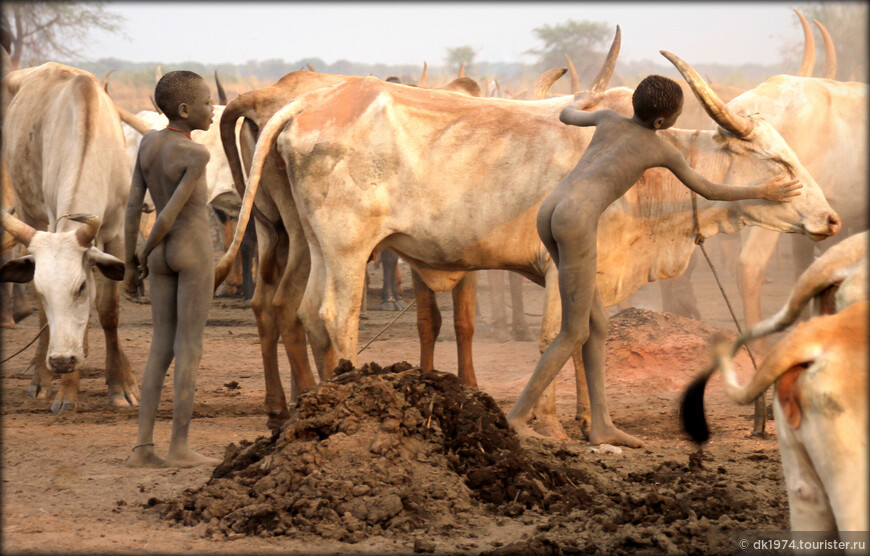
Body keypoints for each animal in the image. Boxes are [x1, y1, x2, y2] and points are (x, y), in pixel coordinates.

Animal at [0, 64, 138, 412]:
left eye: (81, 287)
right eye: (41, 288)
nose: (62, 362)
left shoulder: (116, 232)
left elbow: (108, 310)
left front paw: (122, 385)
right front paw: (65, 390)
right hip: (27, 210)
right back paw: (42, 378)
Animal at [221, 50, 840, 446]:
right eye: (778, 160)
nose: (831, 218)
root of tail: (310, 102)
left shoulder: (598, 272)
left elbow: (589, 337)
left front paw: (592, 423)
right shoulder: (560, 266)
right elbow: (555, 338)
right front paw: (551, 426)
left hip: (312, 244)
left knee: (302, 313)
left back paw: (312, 406)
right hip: (349, 250)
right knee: (335, 316)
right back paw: (351, 407)